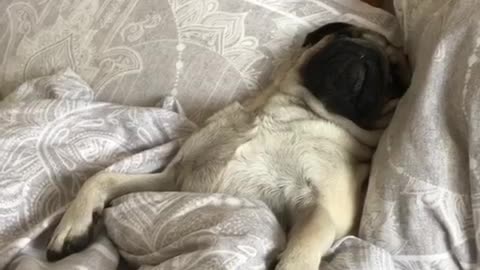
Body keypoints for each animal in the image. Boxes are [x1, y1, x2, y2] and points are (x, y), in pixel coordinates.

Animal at [47, 23, 410, 270]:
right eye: (346, 34)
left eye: (396, 78)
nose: (366, 51)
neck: (289, 111)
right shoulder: (174, 182)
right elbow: (101, 178)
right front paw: (73, 223)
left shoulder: (322, 206)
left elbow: (310, 237)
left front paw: (293, 261)